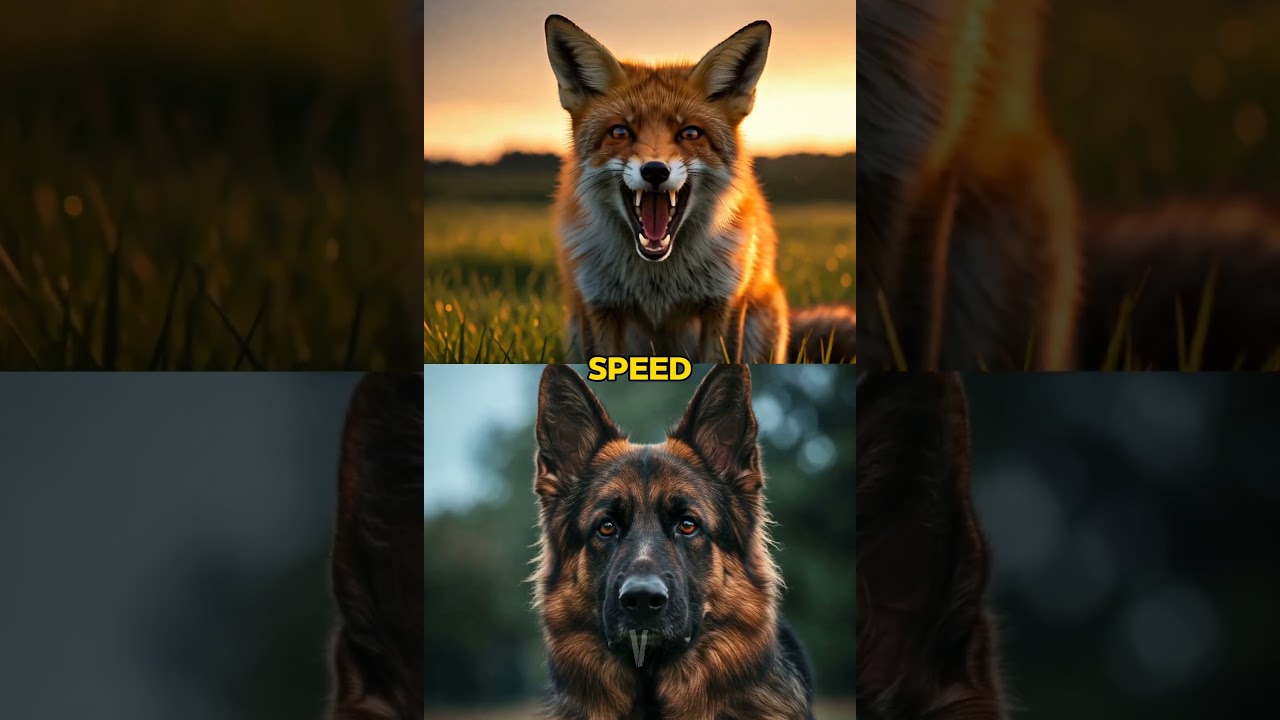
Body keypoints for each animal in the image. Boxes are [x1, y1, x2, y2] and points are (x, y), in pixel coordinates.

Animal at [544, 15, 855, 363]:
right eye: (620, 132)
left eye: (690, 133)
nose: (655, 170)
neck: (658, 283)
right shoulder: (598, 305)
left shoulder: (723, 303)